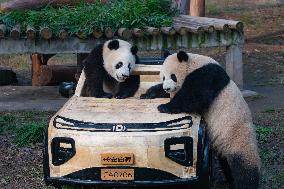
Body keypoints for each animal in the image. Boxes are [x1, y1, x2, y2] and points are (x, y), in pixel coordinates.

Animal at [151, 51, 262, 188]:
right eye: (163, 77)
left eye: (173, 76)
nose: (167, 88)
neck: (194, 64)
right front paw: (148, 94)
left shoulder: (207, 76)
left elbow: (193, 97)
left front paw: (164, 106)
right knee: (226, 163)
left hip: (237, 137)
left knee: (244, 168)